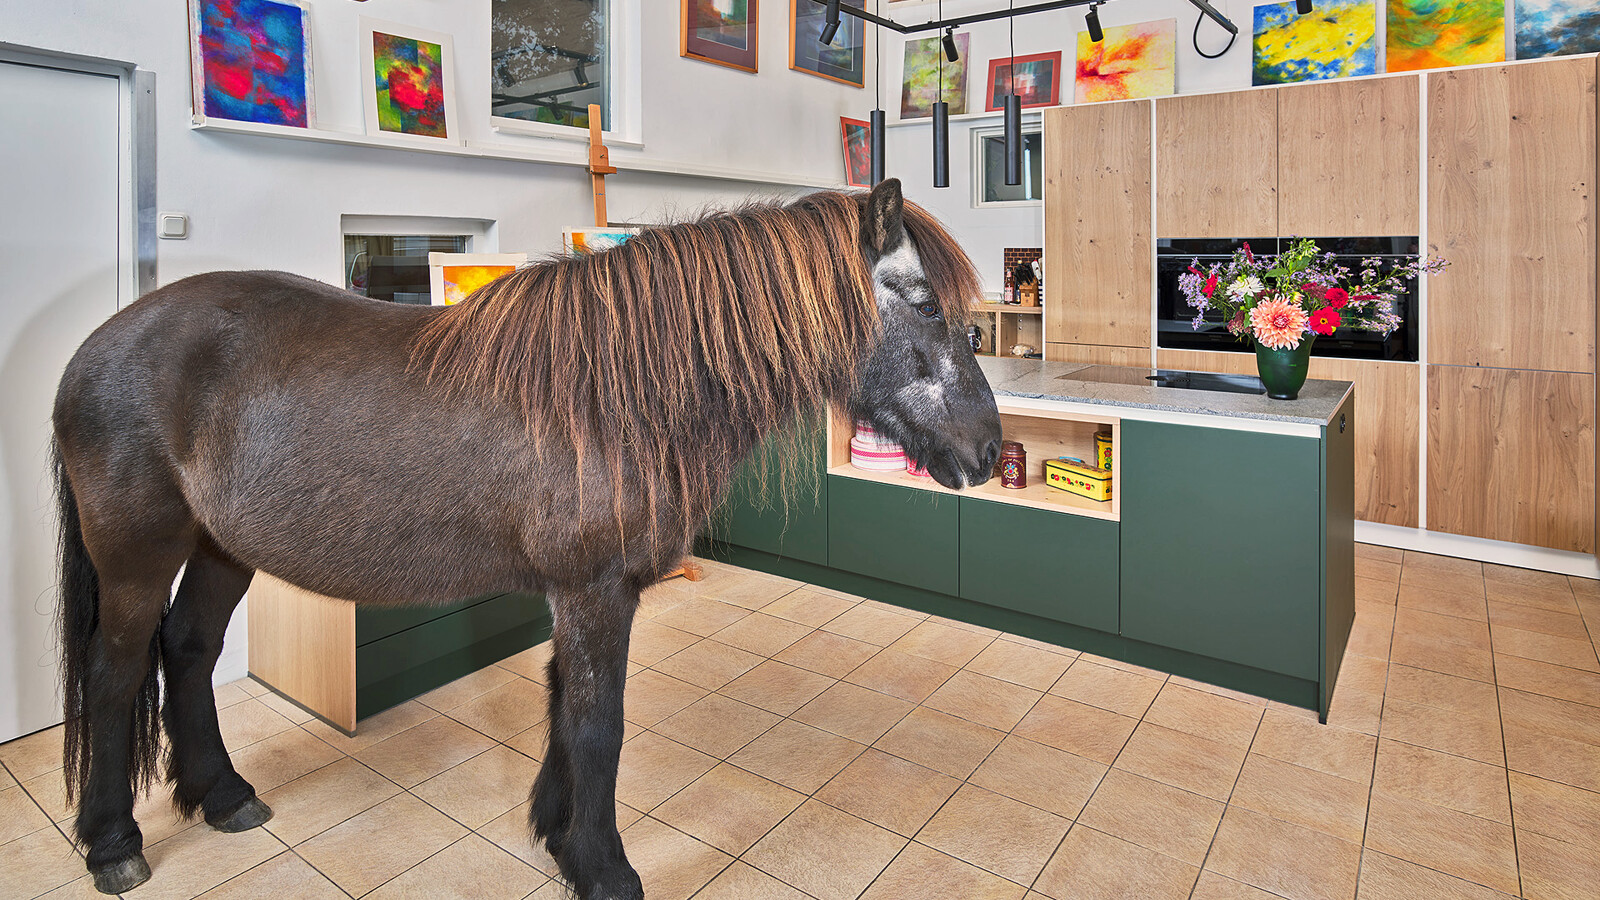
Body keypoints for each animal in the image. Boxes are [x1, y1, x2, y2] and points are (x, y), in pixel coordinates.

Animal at [51, 178, 1003, 899]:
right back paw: (114, 842)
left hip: (222, 549)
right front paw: (605, 869)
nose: (991, 452)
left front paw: (556, 830)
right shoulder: (595, 591)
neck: (615, 397)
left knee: (190, 647)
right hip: (136, 556)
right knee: (116, 671)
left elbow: (559, 701)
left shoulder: (580, 594)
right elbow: (596, 723)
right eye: (925, 305)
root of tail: (96, 347)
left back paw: (223, 796)